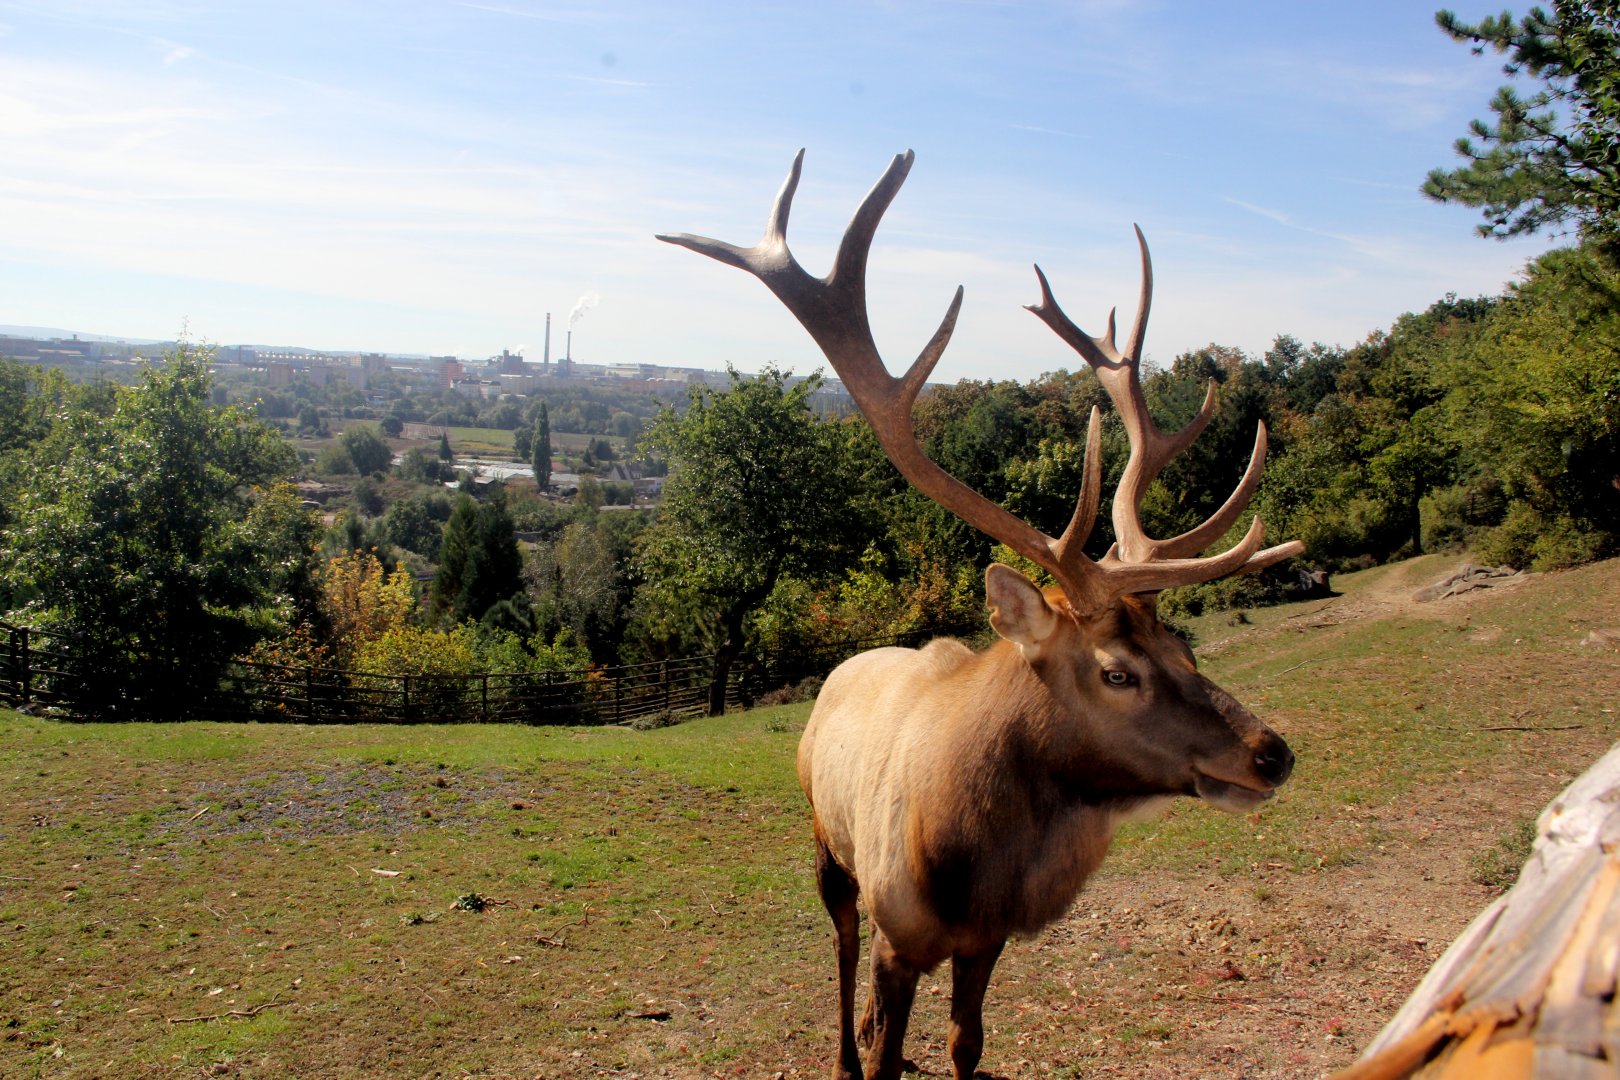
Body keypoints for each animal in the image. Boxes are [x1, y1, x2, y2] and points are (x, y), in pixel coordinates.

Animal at [659, 150, 1303, 1080]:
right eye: (1117, 671)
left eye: (1183, 644)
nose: (1272, 753)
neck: (973, 863)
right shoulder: (899, 936)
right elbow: (887, 1044)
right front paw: (869, 1054)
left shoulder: (988, 939)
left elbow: (968, 1043)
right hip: (825, 838)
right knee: (840, 945)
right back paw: (841, 1048)